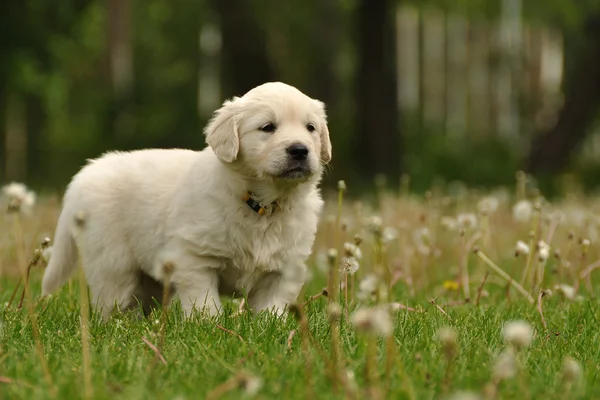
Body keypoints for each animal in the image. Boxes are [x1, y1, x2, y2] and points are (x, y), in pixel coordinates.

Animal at [42, 81, 332, 318]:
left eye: (311, 128)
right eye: (267, 127)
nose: (300, 150)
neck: (262, 204)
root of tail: (87, 171)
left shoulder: (284, 269)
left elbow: (272, 308)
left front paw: (271, 327)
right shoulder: (195, 258)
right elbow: (205, 303)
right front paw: (210, 327)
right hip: (113, 262)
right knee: (115, 300)